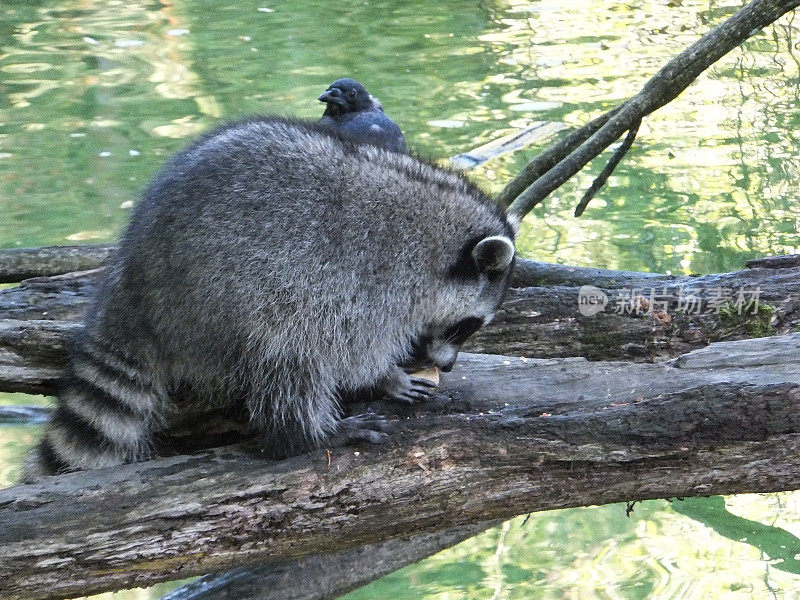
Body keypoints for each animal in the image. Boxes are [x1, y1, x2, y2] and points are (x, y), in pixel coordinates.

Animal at [25, 117, 516, 480]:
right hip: (229, 299)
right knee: (289, 359)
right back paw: (308, 436)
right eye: (467, 325)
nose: (447, 366)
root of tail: (133, 281)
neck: (435, 237)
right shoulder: (370, 283)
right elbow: (351, 347)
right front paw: (385, 377)